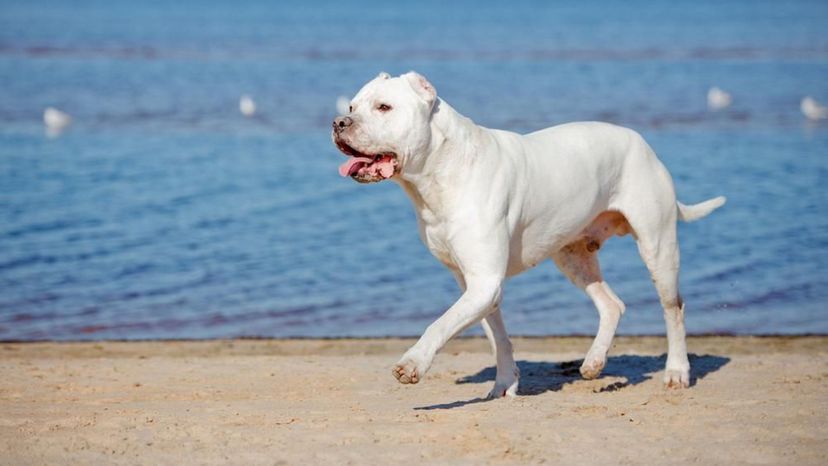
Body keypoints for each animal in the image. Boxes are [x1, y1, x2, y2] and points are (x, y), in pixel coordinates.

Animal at [330, 71, 724, 398]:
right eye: (351, 106)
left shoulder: (485, 282)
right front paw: (505, 384)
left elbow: (439, 325)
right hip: (572, 254)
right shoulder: (474, 285)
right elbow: (497, 338)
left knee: (673, 308)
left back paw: (676, 372)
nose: (338, 122)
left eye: (384, 107)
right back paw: (594, 363)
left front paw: (413, 363)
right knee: (612, 304)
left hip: (658, 247)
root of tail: (643, 143)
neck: (441, 173)